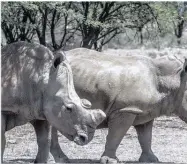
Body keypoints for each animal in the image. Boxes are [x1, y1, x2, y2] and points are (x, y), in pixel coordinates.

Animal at [50, 48, 187, 163]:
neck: (172, 82)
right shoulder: (125, 109)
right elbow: (116, 135)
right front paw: (109, 161)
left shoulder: (144, 111)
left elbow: (146, 137)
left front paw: (151, 160)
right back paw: (62, 159)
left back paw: (61, 159)